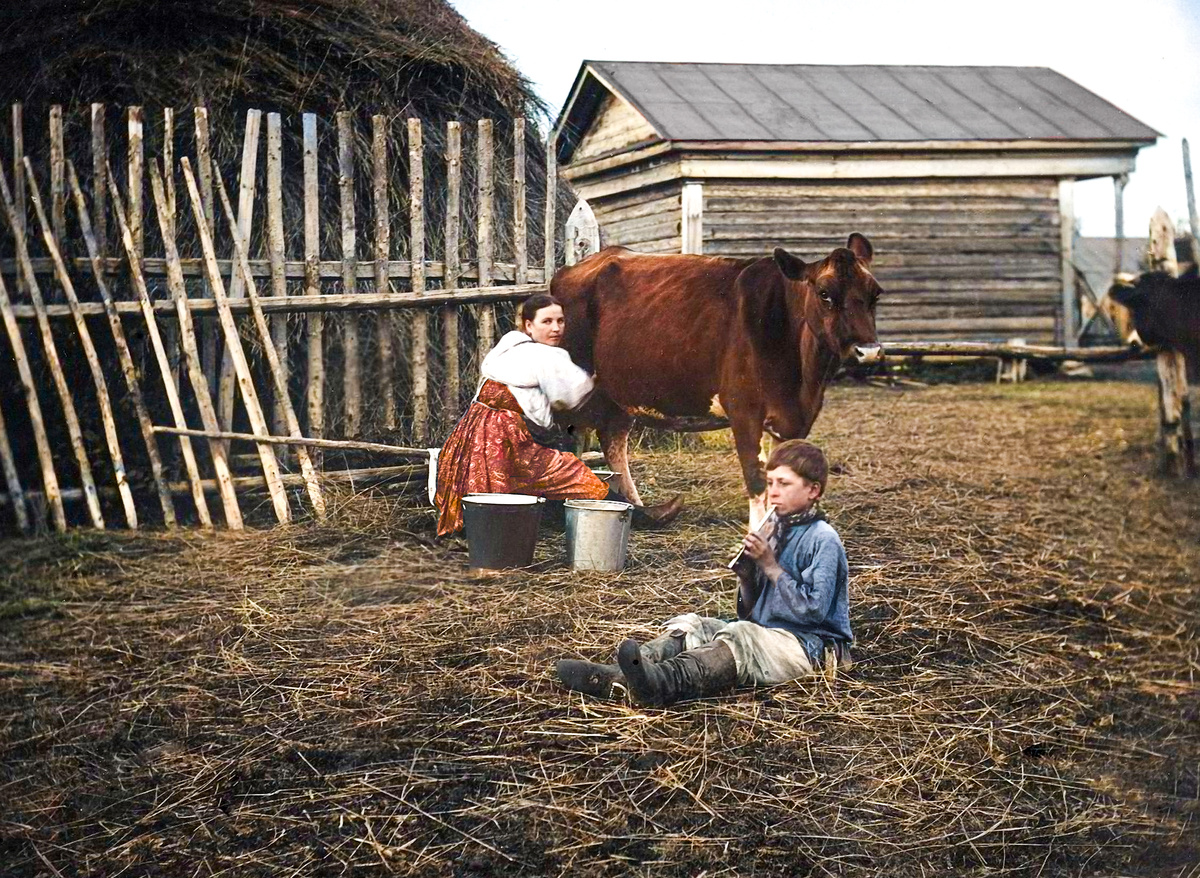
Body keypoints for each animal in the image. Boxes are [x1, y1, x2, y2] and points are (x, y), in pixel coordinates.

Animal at [552, 232, 883, 525]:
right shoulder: (744, 410)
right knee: (567, 440)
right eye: (824, 293)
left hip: (621, 391)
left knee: (613, 438)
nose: (868, 351)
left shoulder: (796, 419)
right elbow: (757, 479)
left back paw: (641, 509)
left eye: (875, 294)